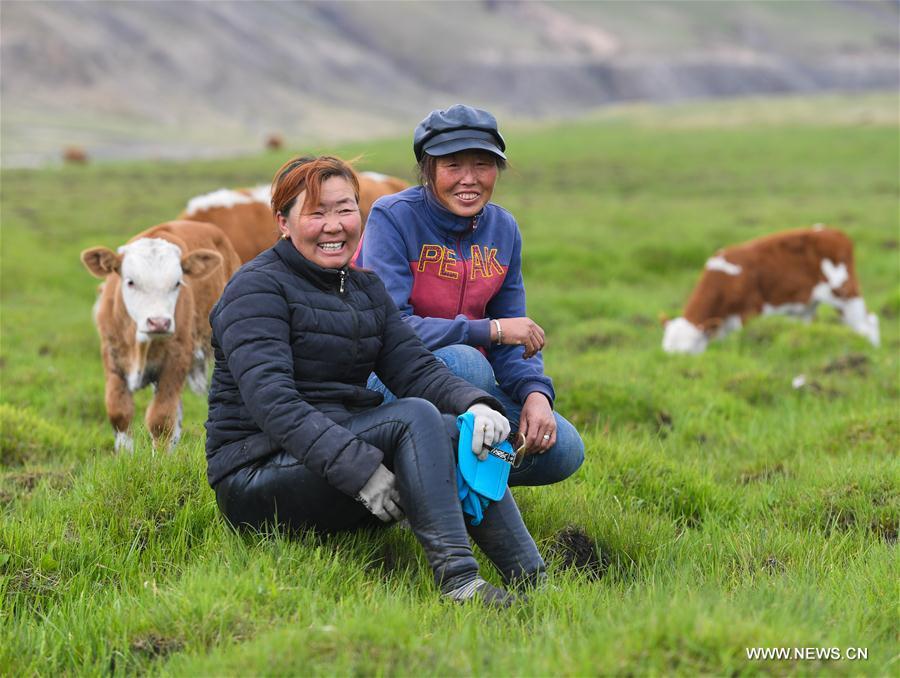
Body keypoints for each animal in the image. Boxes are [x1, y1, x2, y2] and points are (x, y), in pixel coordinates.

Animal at [81, 220, 241, 452]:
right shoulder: (112, 355)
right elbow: (119, 412)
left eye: (177, 283)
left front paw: (161, 459)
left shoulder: (177, 360)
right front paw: (125, 455)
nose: (159, 322)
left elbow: (161, 419)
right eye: (130, 282)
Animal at [660, 228, 880, 356]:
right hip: (809, 305)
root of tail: (835, 232)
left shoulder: (749, 311)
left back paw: (871, 350)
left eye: (687, 352)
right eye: (667, 352)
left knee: (866, 325)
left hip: (844, 293)